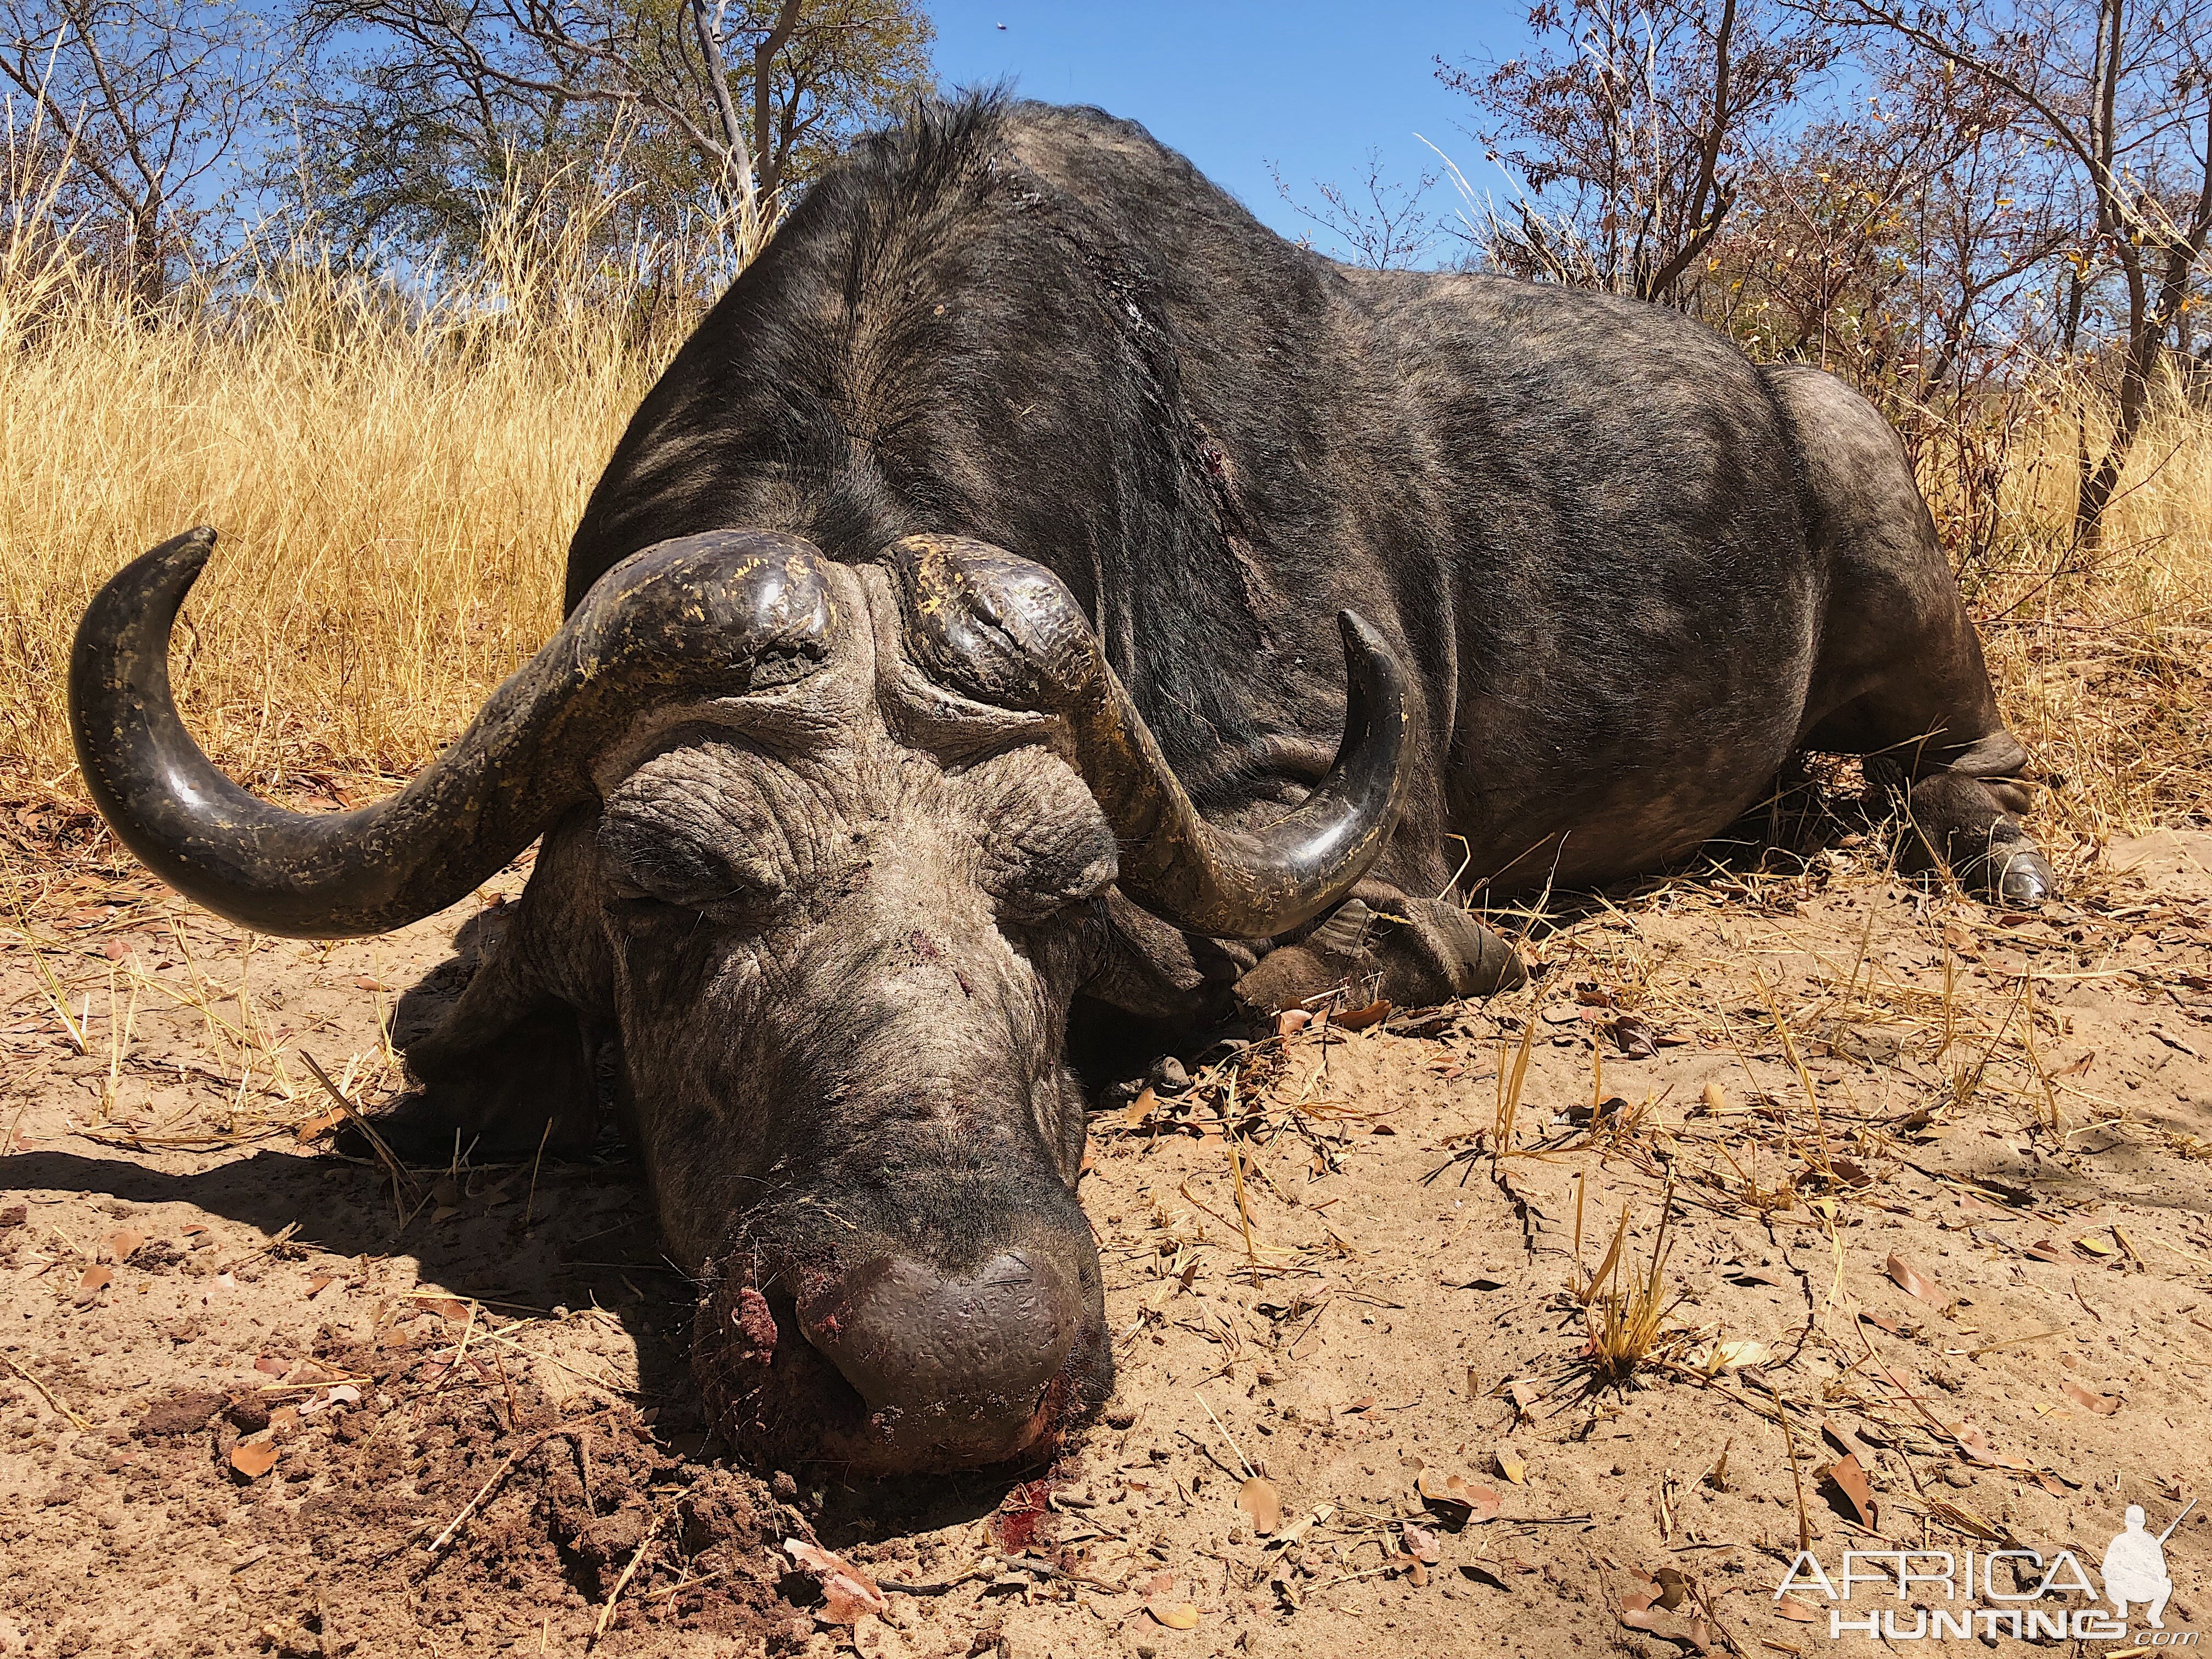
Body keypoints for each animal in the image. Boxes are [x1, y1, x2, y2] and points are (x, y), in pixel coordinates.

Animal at [64, 97, 2052, 1477]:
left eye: (1070, 892)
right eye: (661, 886)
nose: (955, 1363)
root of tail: (1791, 397)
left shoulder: (1406, 903)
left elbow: (1220, 991)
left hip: (1889, 536)